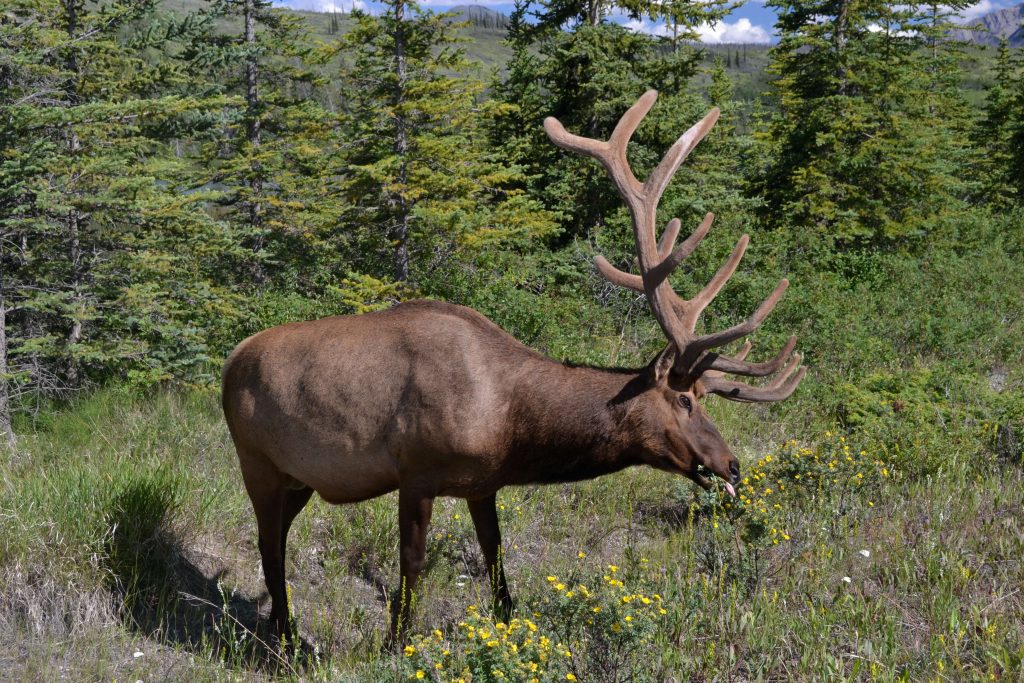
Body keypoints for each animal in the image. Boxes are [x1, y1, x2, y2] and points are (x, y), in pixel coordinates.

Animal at [222, 89, 806, 647]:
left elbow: (495, 554)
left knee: (275, 541)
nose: (732, 465)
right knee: (269, 547)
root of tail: (229, 363)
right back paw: (287, 639)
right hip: (257, 464)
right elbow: (412, 564)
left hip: (299, 479)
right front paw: (393, 641)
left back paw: (278, 627)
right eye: (683, 398)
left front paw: (506, 620)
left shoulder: (483, 483)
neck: (509, 424)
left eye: (704, 398)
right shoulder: (415, 472)